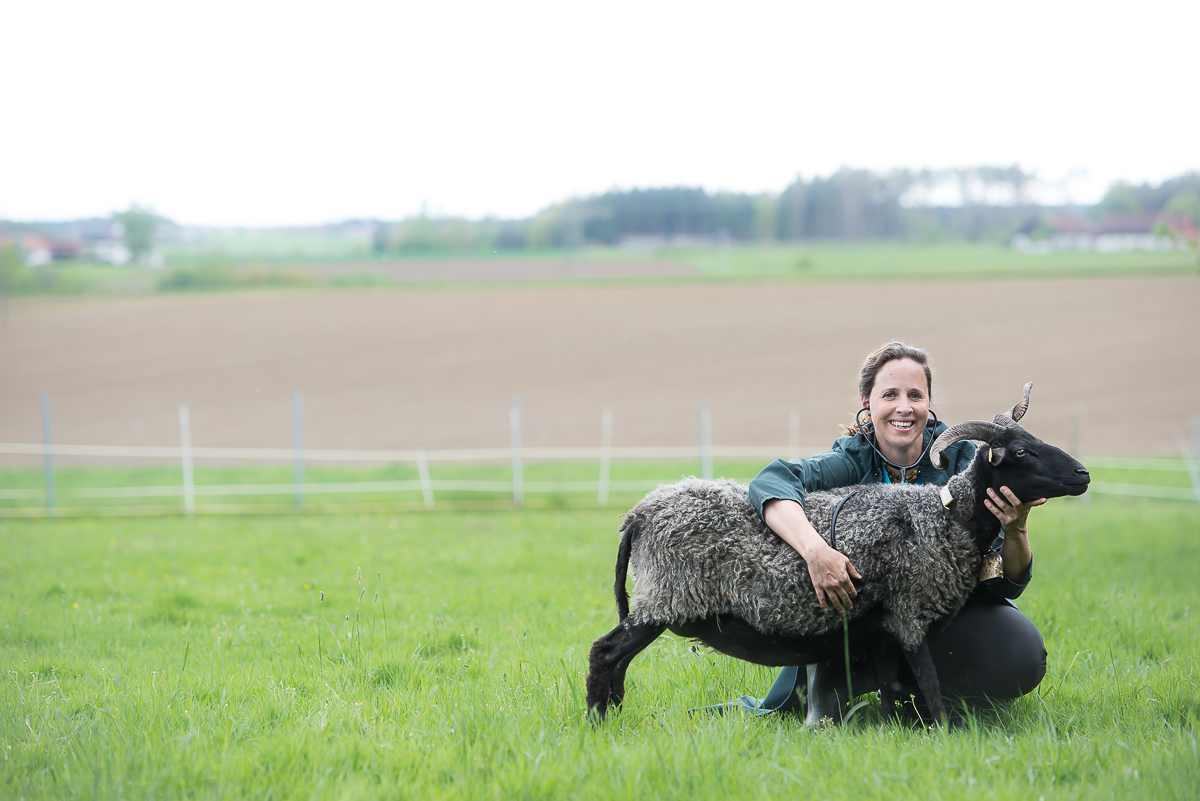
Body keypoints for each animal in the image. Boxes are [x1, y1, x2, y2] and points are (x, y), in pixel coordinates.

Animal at [585, 383, 1094, 724]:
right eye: (1022, 452)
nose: (1083, 475)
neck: (945, 517)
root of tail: (639, 514)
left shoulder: (884, 627)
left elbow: (891, 685)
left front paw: (892, 731)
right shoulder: (910, 614)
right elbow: (929, 683)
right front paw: (946, 733)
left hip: (660, 599)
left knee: (618, 660)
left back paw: (614, 715)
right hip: (666, 596)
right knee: (605, 652)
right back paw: (598, 723)